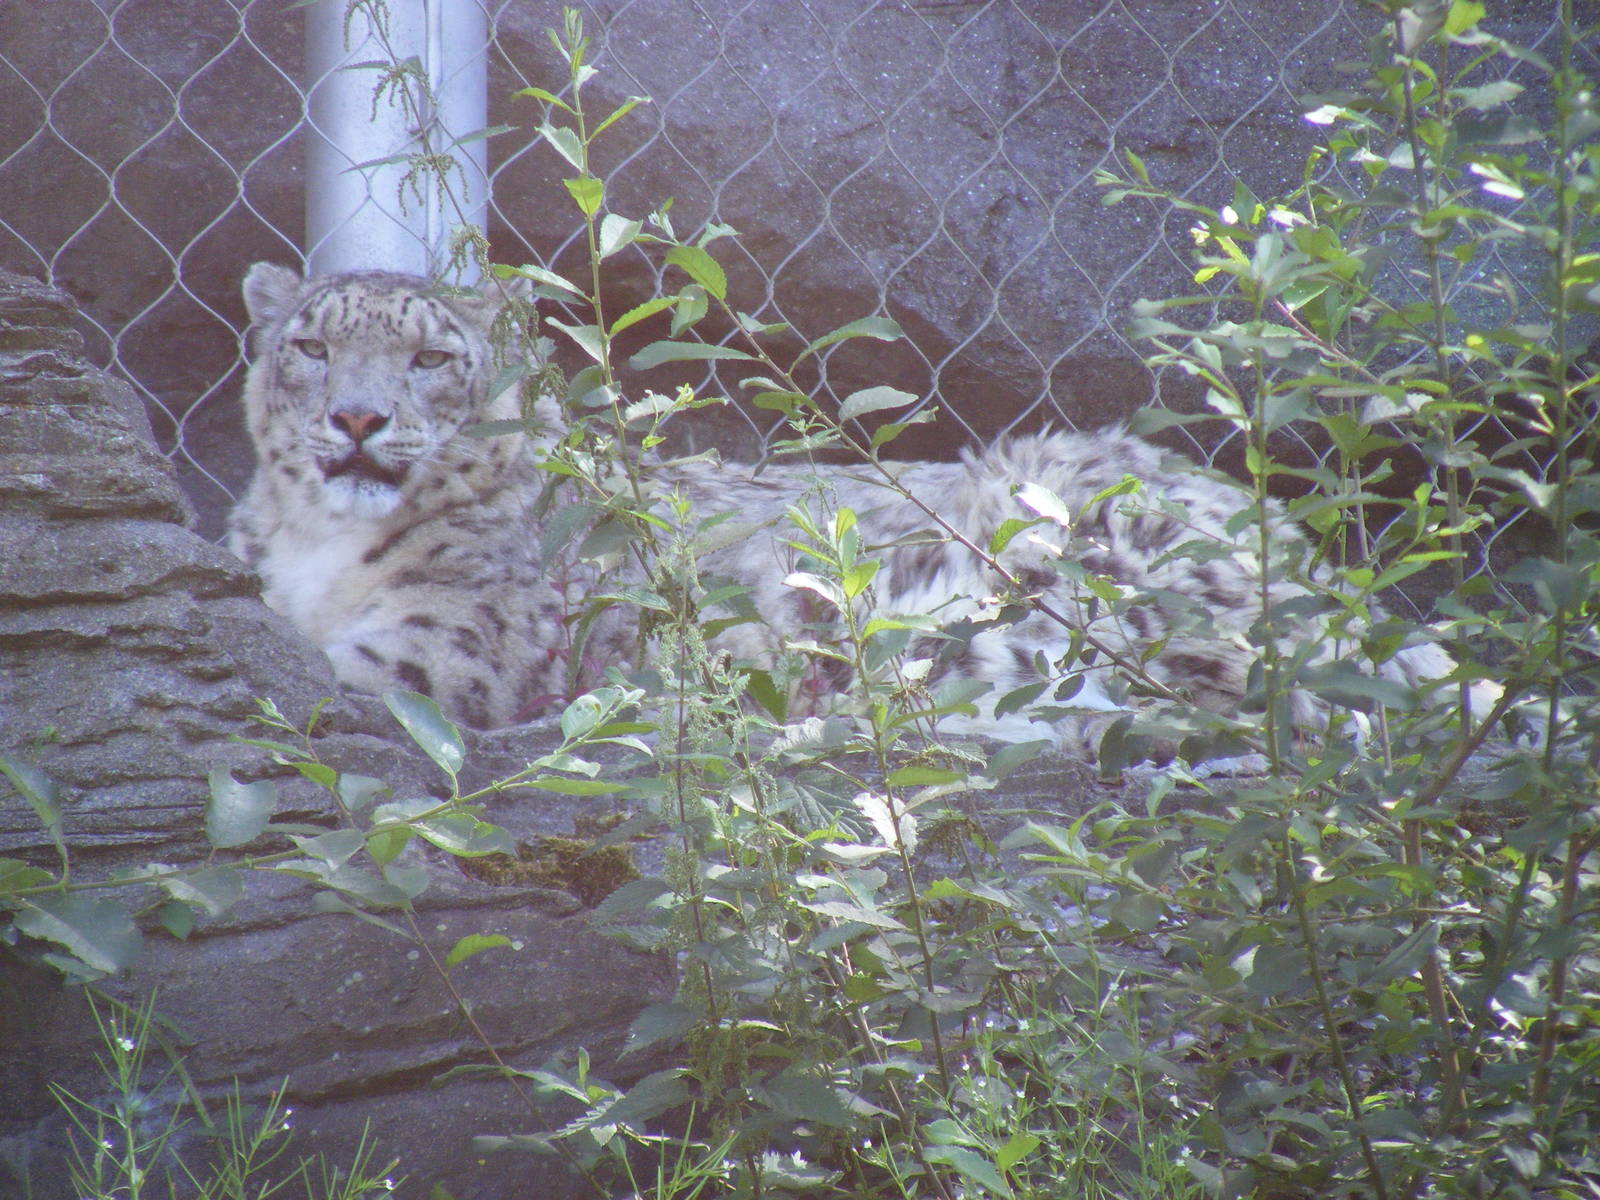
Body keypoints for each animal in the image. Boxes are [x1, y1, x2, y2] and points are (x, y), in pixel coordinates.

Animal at [228, 264, 1494, 757]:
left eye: (432, 358)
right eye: (310, 346)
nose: (355, 420)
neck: (318, 547)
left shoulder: (457, 641)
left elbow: (353, 669)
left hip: (1089, 547)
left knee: (1256, 700)